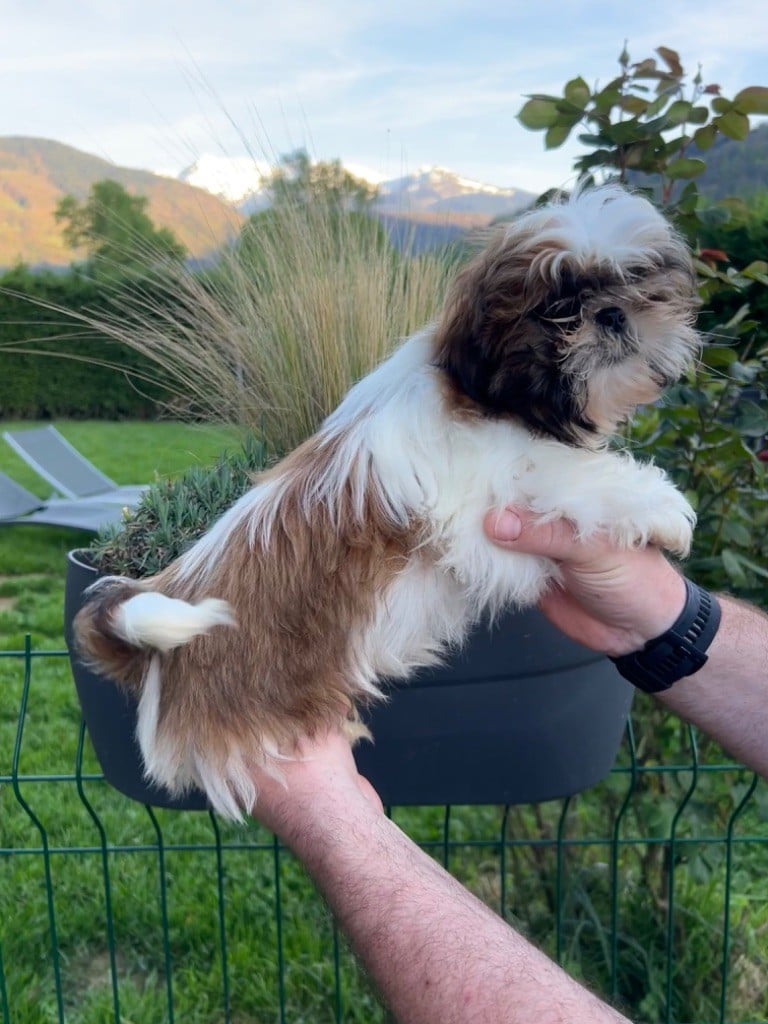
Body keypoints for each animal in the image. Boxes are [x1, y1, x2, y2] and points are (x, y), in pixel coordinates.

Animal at [75, 184, 699, 821]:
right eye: (559, 307)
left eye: (642, 281)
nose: (614, 313)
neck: (486, 398)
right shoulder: (481, 505)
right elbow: (568, 476)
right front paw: (661, 506)